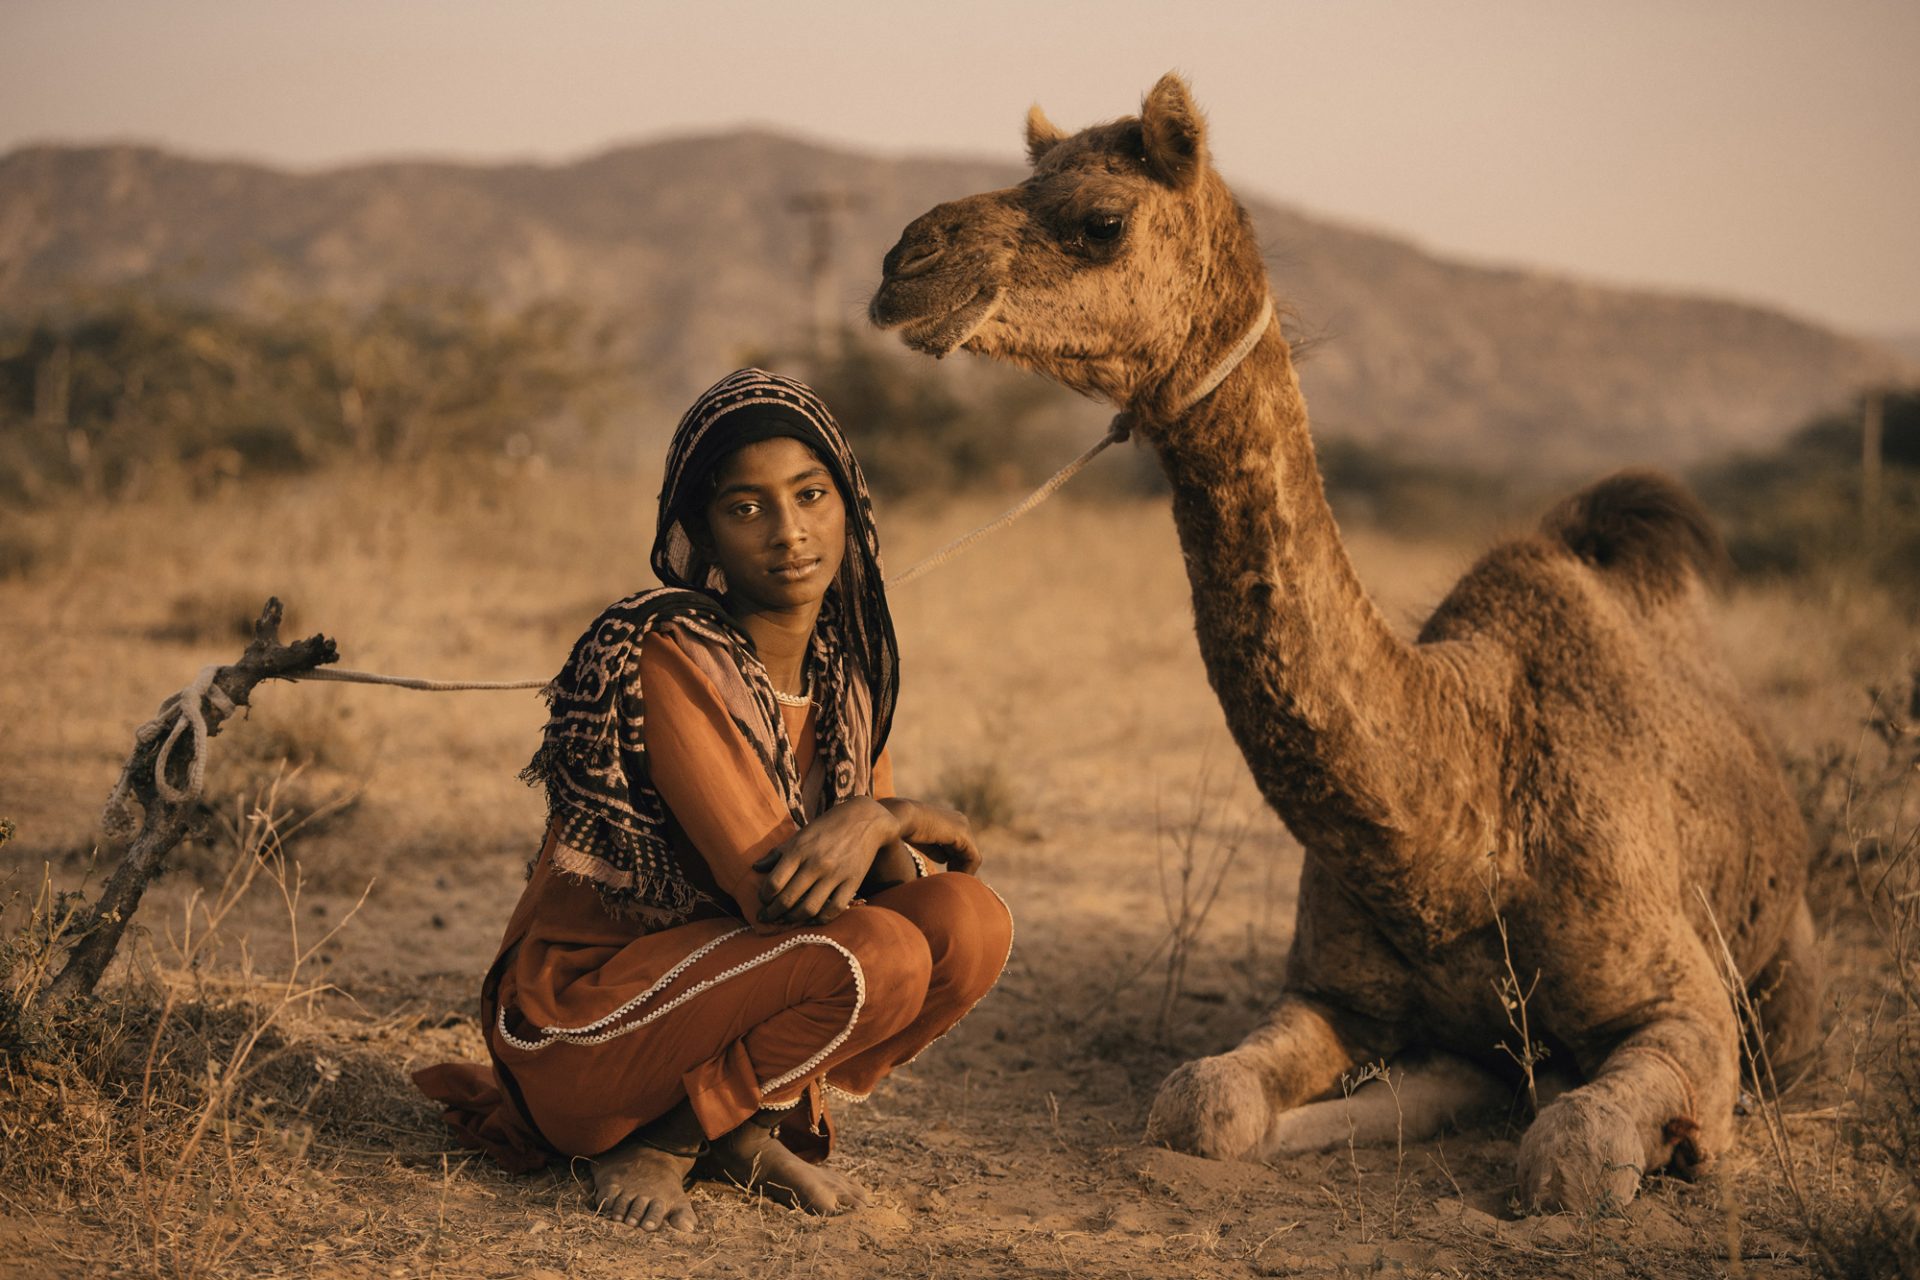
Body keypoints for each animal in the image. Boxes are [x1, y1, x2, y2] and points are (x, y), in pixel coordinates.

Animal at [871, 72, 1812, 1212]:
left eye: (1101, 220)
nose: (905, 264)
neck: (1467, 812)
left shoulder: (1686, 1009)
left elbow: (1572, 1152)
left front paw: (1671, 1140)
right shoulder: (1331, 989)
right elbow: (1201, 1101)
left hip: (1790, 980)